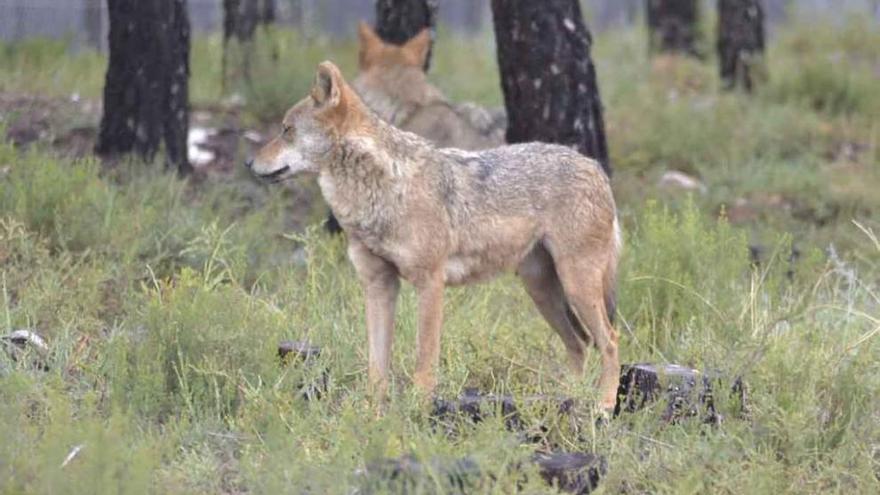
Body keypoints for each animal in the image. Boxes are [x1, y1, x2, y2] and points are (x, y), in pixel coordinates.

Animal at [244, 61, 624, 410]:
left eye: (287, 130)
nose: (249, 163)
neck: (381, 191)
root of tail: (595, 167)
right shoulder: (378, 286)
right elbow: (376, 365)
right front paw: (371, 414)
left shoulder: (430, 283)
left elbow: (424, 358)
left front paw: (418, 409)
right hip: (542, 290)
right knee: (579, 344)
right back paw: (568, 399)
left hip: (575, 286)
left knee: (609, 341)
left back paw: (603, 406)